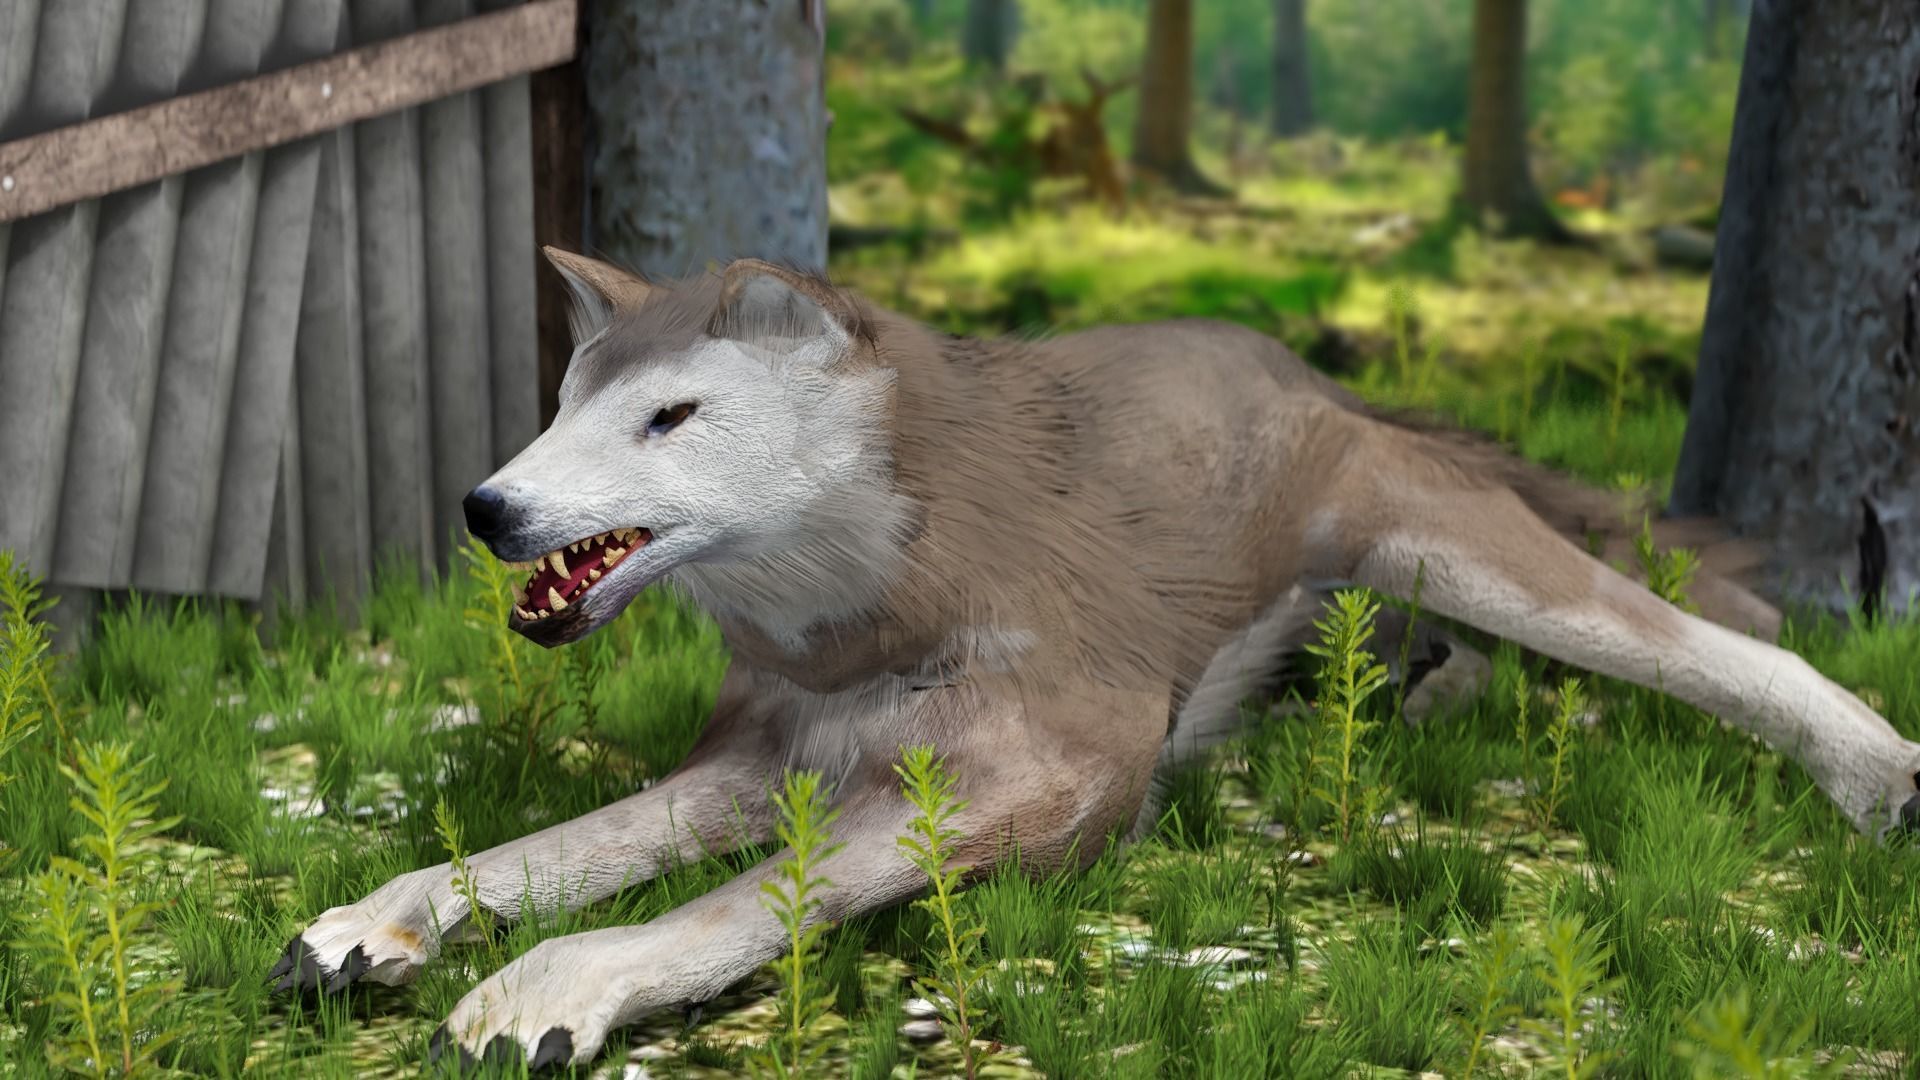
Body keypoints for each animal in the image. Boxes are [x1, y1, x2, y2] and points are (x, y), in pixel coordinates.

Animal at [271, 247, 1920, 1069]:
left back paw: (1880, 777)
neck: (877, 614)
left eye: (670, 417)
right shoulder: (768, 756)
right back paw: (1426, 691)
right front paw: (371, 925)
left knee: (1720, 642)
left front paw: (538, 999)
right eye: (563, 400)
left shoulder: (1055, 772)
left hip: (1435, 533)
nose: (489, 508)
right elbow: (554, 852)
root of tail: (1281, 356)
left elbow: (723, 906)